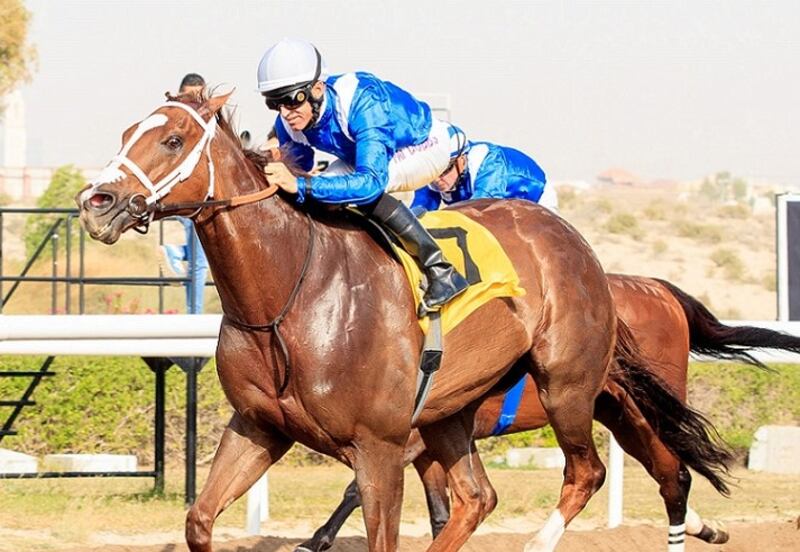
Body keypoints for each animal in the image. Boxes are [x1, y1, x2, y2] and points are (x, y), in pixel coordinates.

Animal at [76, 92, 732, 548]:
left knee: (601, 473)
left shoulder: (382, 446)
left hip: (573, 387)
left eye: (173, 138)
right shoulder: (259, 427)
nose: (95, 203)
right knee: (483, 498)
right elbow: (200, 520)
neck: (289, 293)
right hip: (466, 411)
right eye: (128, 133)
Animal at [298, 276, 800, 552]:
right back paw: (706, 528)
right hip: (615, 410)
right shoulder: (427, 440)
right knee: (667, 472)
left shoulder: (410, 435)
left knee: (671, 472)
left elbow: (356, 489)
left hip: (635, 407)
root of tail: (659, 288)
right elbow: (440, 510)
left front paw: (314, 541)